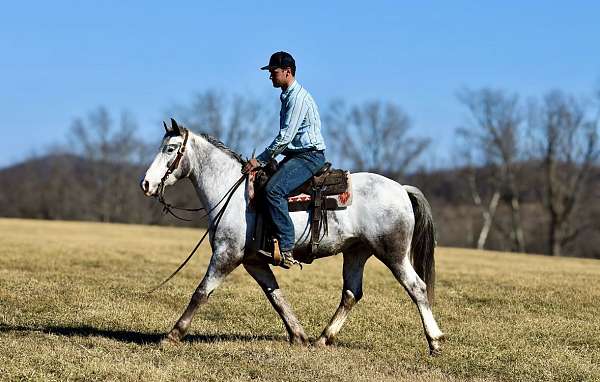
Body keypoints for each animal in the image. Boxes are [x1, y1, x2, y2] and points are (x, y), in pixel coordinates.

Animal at [138, 119, 442, 356]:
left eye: (170, 149)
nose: (146, 184)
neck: (231, 193)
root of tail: (401, 189)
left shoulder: (226, 254)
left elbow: (201, 293)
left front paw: (172, 335)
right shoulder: (253, 261)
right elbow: (276, 296)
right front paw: (299, 336)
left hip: (393, 253)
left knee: (417, 287)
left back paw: (435, 342)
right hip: (356, 252)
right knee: (351, 293)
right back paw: (322, 339)